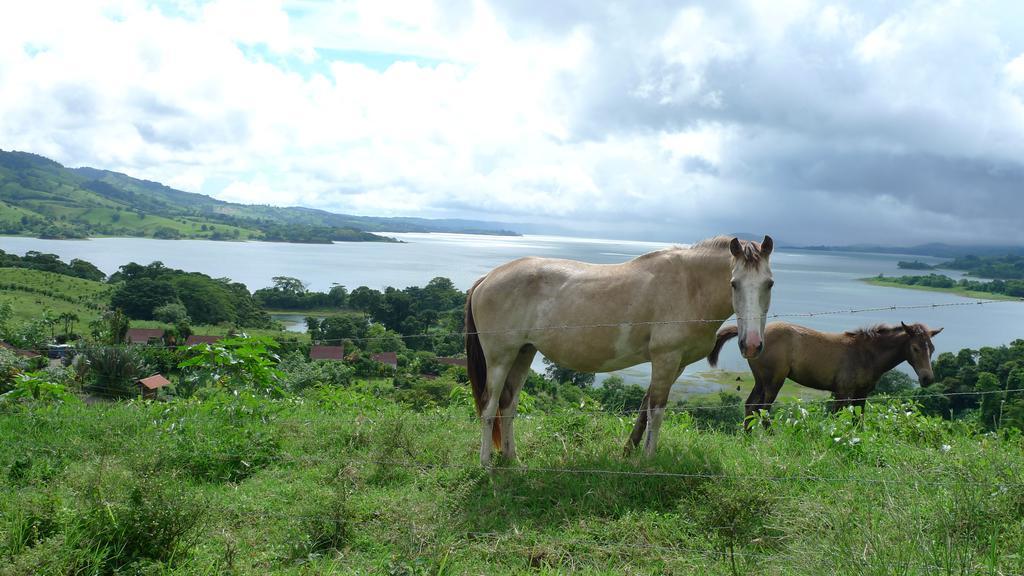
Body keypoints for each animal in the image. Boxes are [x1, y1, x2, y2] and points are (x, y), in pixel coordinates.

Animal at [468, 233, 770, 461]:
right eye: (734, 283)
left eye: (769, 283)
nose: (752, 344)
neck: (689, 286)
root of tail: (487, 278)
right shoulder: (666, 358)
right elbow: (656, 411)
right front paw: (647, 460)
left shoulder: (676, 365)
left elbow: (644, 409)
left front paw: (629, 451)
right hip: (500, 358)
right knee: (489, 405)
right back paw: (487, 464)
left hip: (523, 353)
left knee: (508, 404)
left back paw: (512, 459)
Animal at [708, 319, 937, 420]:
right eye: (915, 348)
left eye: (932, 348)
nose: (927, 378)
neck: (866, 353)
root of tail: (753, 338)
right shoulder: (843, 391)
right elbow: (838, 418)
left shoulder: (862, 393)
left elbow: (858, 420)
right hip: (774, 381)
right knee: (762, 409)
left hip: (760, 380)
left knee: (750, 406)